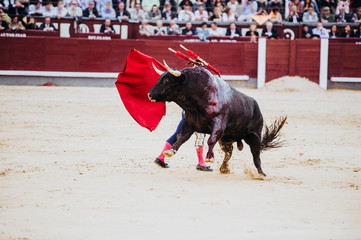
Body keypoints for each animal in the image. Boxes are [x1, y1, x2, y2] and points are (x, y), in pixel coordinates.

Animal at [148, 63, 286, 176]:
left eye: (166, 79)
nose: (150, 94)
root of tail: (257, 108)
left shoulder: (218, 123)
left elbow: (211, 140)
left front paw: (210, 157)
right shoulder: (189, 123)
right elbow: (181, 137)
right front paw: (170, 151)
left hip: (255, 135)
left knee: (256, 155)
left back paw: (261, 174)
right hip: (226, 138)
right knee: (229, 152)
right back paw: (224, 168)